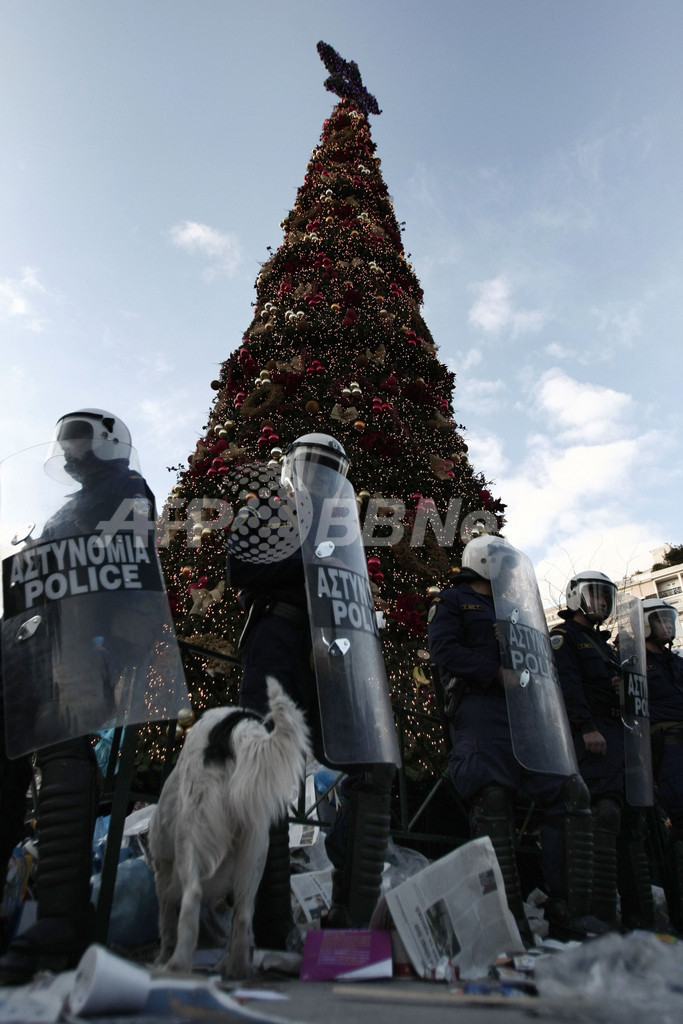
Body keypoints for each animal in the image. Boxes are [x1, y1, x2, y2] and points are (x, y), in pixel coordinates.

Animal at [150, 679, 311, 974]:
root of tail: (238, 731)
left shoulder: (163, 868)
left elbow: (166, 919)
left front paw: (163, 956)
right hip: (255, 848)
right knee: (244, 915)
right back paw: (237, 967)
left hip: (191, 836)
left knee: (191, 899)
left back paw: (177, 965)